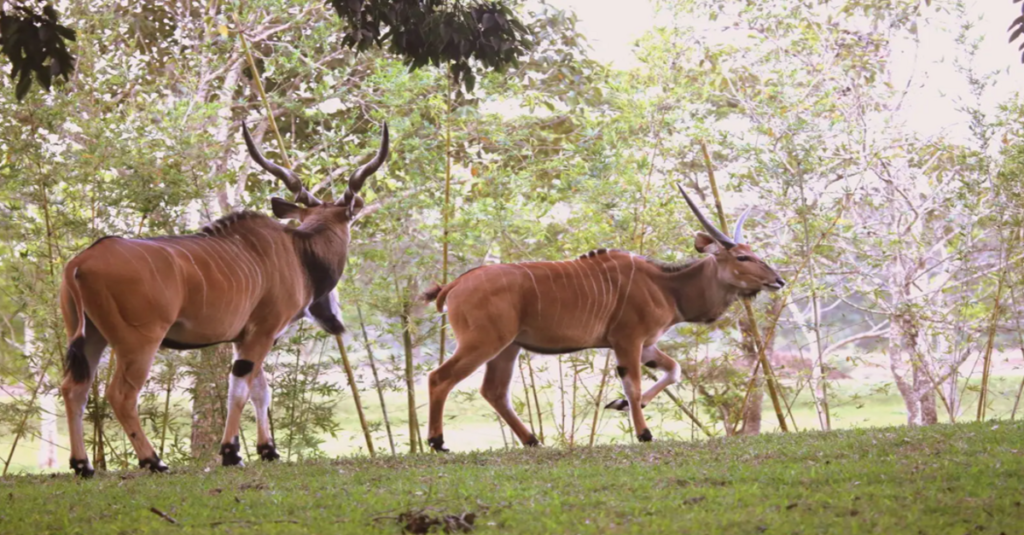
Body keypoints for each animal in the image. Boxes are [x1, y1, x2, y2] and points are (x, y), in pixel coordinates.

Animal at [58, 118, 387, 473]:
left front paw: (268, 450)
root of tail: (79, 263)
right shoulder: (263, 332)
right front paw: (231, 453)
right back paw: (153, 461)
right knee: (120, 394)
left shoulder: (245, 337)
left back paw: (83, 465)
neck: (300, 252)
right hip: (139, 342)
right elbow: (241, 389)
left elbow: (261, 390)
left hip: (91, 336)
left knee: (74, 389)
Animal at [421, 185, 782, 446]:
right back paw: (438, 442)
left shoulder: (645, 345)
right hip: (484, 342)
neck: (665, 285)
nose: (778, 280)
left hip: (508, 347)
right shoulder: (628, 340)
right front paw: (644, 433)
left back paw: (532, 440)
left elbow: (674, 370)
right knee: (439, 377)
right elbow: (633, 385)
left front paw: (619, 405)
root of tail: (454, 285)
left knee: (494, 391)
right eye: (743, 257)